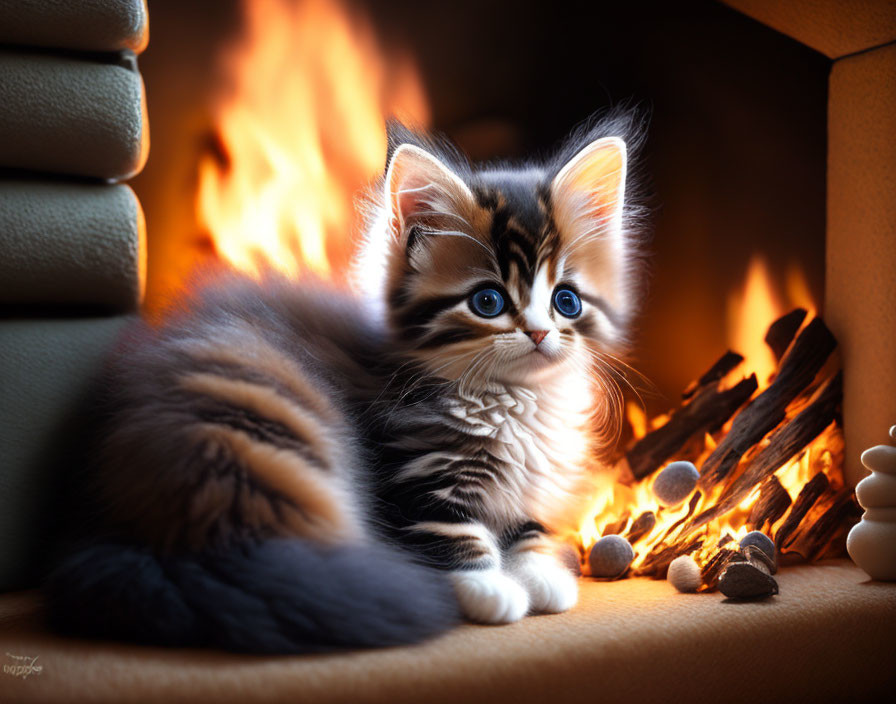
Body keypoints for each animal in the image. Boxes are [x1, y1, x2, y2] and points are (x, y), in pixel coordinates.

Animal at [45, 111, 644, 656]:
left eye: (566, 300)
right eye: (488, 302)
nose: (541, 333)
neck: (517, 400)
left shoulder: (526, 482)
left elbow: (527, 524)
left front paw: (538, 570)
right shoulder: (409, 469)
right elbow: (450, 528)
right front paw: (489, 585)